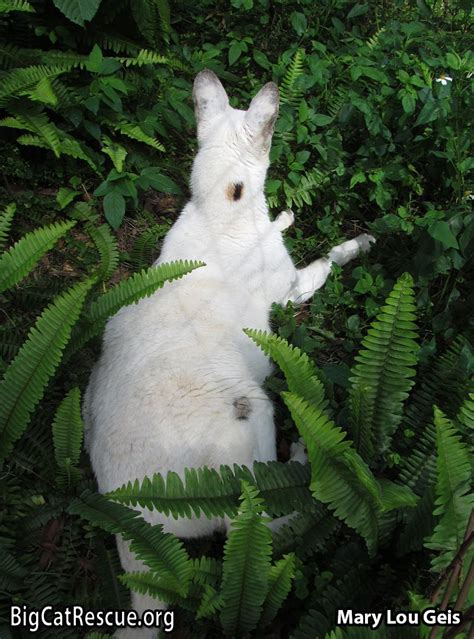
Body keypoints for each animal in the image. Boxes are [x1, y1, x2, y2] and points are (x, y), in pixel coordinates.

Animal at [83, 67, 376, 636]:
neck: (220, 207)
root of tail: (137, 527)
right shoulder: (292, 289)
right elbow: (328, 261)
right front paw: (362, 244)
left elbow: (285, 224)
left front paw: (286, 215)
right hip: (251, 420)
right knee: (272, 527)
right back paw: (304, 461)